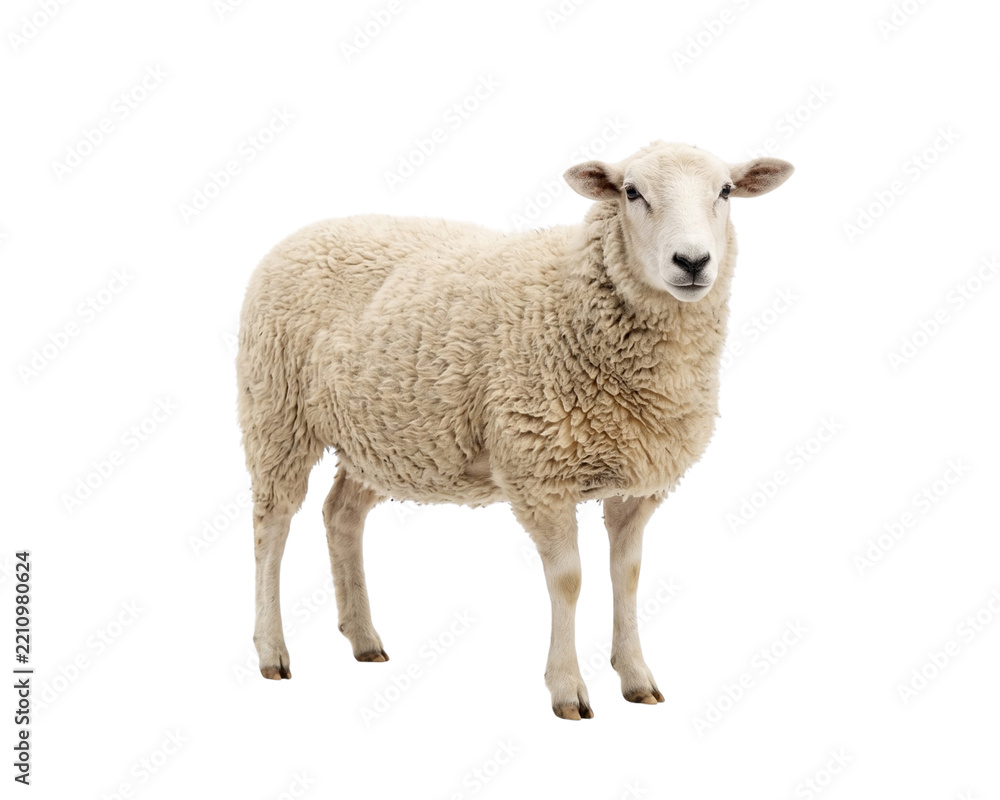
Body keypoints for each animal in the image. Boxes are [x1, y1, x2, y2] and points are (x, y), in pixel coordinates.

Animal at [237, 140, 794, 719]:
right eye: (631, 192)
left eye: (725, 191)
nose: (692, 262)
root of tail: (305, 232)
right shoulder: (539, 472)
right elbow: (568, 580)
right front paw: (567, 689)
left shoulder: (637, 484)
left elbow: (628, 575)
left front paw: (637, 677)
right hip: (276, 412)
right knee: (271, 527)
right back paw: (272, 651)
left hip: (385, 438)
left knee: (341, 514)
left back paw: (364, 638)